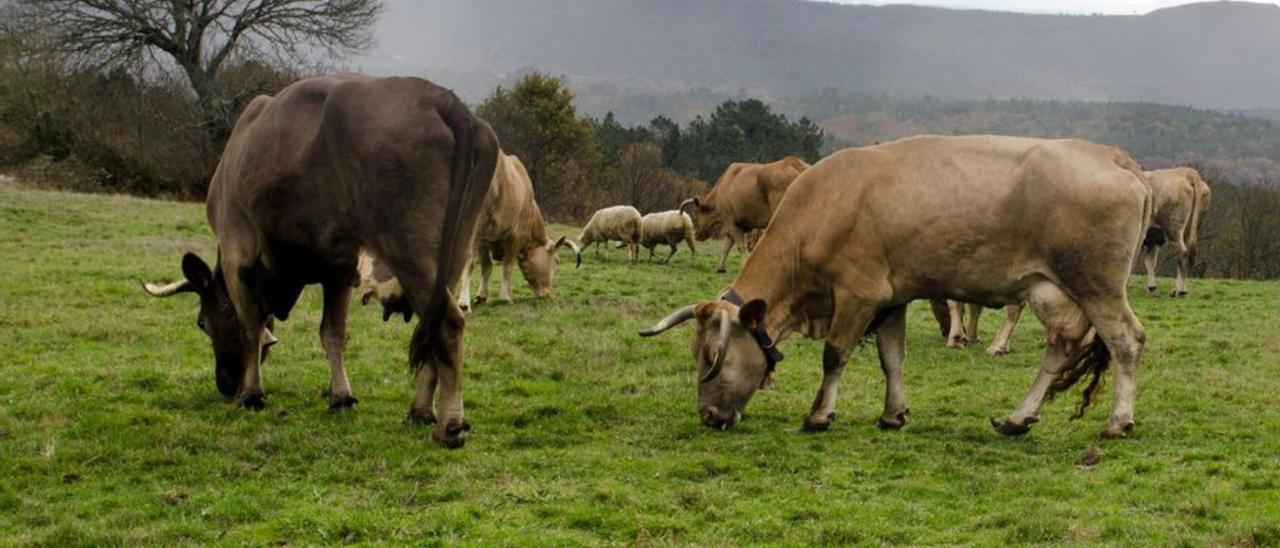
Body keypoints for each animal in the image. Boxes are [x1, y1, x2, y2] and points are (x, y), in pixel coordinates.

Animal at [141, 75, 499, 448]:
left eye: (202, 323)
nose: (224, 384)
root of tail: (444, 100)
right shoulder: (337, 269)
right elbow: (332, 333)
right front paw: (340, 396)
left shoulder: (238, 254)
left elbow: (251, 326)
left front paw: (251, 394)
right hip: (454, 253)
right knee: (431, 330)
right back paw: (420, 410)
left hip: (410, 253)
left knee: (447, 324)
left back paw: (450, 424)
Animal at [458, 151, 581, 309]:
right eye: (556, 261)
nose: (547, 293)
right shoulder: (514, 237)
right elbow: (507, 267)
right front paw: (505, 297)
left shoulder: (484, 240)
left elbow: (487, 267)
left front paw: (481, 296)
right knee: (468, 260)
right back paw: (463, 303)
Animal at [681, 157, 809, 273]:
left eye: (695, 215)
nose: (696, 234)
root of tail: (794, 162)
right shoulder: (740, 224)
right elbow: (726, 246)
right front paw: (720, 268)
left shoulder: (730, 221)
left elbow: (740, 246)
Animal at [1140, 167, 1211, 297]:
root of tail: (1189, 173)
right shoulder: (1153, 240)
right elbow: (1150, 262)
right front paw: (1152, 288)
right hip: (1192, 228)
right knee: (1188, 255)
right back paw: (1179, 289)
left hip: (1173, 229)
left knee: (1182, 253)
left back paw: (1181, 291)